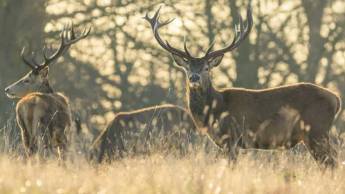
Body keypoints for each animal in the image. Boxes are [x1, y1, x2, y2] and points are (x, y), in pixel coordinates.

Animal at [4, 24, 90, 160]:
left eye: (27, 80)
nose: (7, 89)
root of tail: (30, 105)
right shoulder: (65, 134)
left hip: (24, 130)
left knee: (31, 153)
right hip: (46, 129)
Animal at [144, 6, 340, 167]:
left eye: (206, 67)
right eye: (187, 68)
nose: (194, 77)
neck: (215, 110)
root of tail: (336, 99)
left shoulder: (232, 138)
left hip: (317, 130)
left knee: (331, 163)